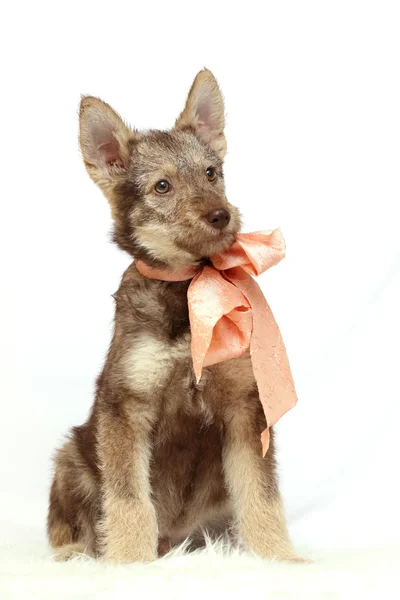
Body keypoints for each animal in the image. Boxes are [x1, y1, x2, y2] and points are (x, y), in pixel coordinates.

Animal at [47, 69, 300, 564]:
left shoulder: (245, 409)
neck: (188, 290)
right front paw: (128, 561)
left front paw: (281, 557)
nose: (221, 215)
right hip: (71, 458)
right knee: (67, 526)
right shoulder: (126, 407)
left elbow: (261, 495)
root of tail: (174, 540)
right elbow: (128, 498)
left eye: (212, 173)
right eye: (162, 186)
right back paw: (77, 555)